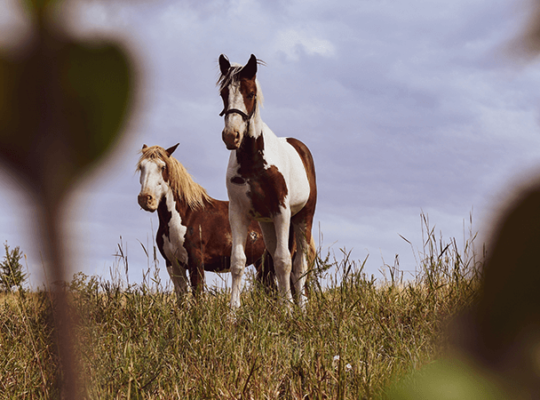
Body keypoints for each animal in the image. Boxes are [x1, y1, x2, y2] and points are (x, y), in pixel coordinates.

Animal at [135, 143, 274, 296]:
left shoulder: (196, 263)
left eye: (162, 167)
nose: (145, 199)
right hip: (262, 262)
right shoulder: (173, 264)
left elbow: (198, 296)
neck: (186, 216)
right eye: (141, 166)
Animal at [216, 54, 316, 310]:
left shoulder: (282, 211)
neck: (254, 162)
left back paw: (301, 307)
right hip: (268, 224)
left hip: (302, 218)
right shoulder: (238, 213)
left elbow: (284, 261)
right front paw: (232, 312)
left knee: (298, 263)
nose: (231, 136)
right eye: (223, 93)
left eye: (250, 93)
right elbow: (238, 262)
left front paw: (288, 311)